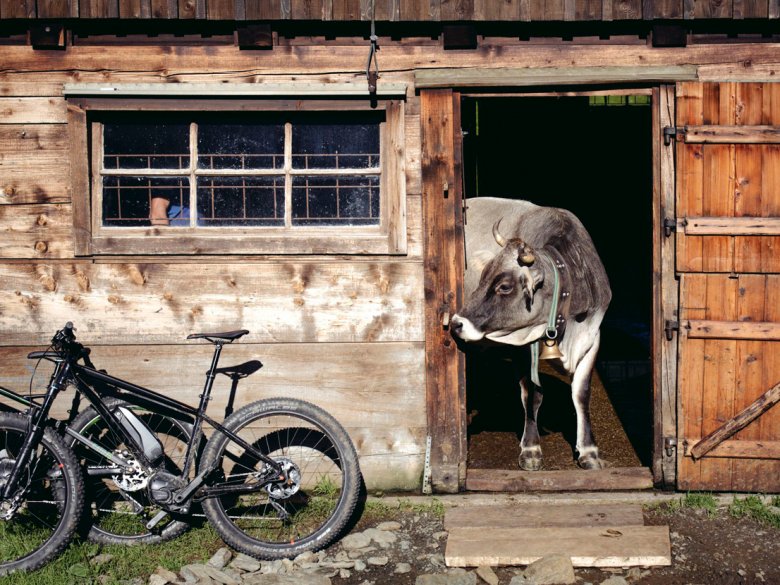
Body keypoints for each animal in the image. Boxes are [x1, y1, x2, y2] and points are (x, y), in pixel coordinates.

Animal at [450, 196, 608, 470]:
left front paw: (588, 451)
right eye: (482, 277)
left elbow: (581, 394)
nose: (457, 323)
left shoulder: (591, 338)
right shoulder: (521, 345)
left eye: (504, 286)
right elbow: (532, 393)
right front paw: (531, 449)